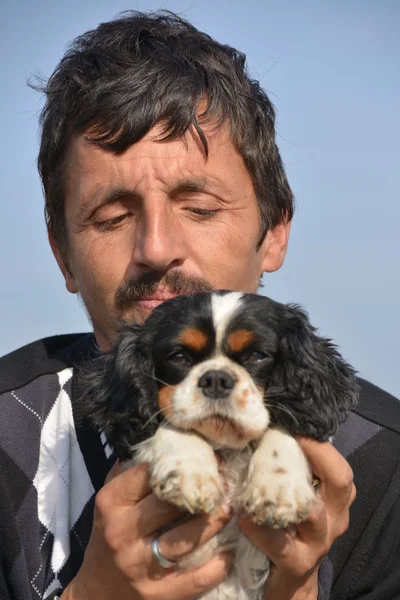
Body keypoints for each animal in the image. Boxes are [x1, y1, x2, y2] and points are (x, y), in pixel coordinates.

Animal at [83, 290, 358, 596]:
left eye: (257, 356)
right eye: (179, 356)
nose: (215, 378)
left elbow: (283, 426)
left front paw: (279, 491)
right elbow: (173, 422)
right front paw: (190, 476)